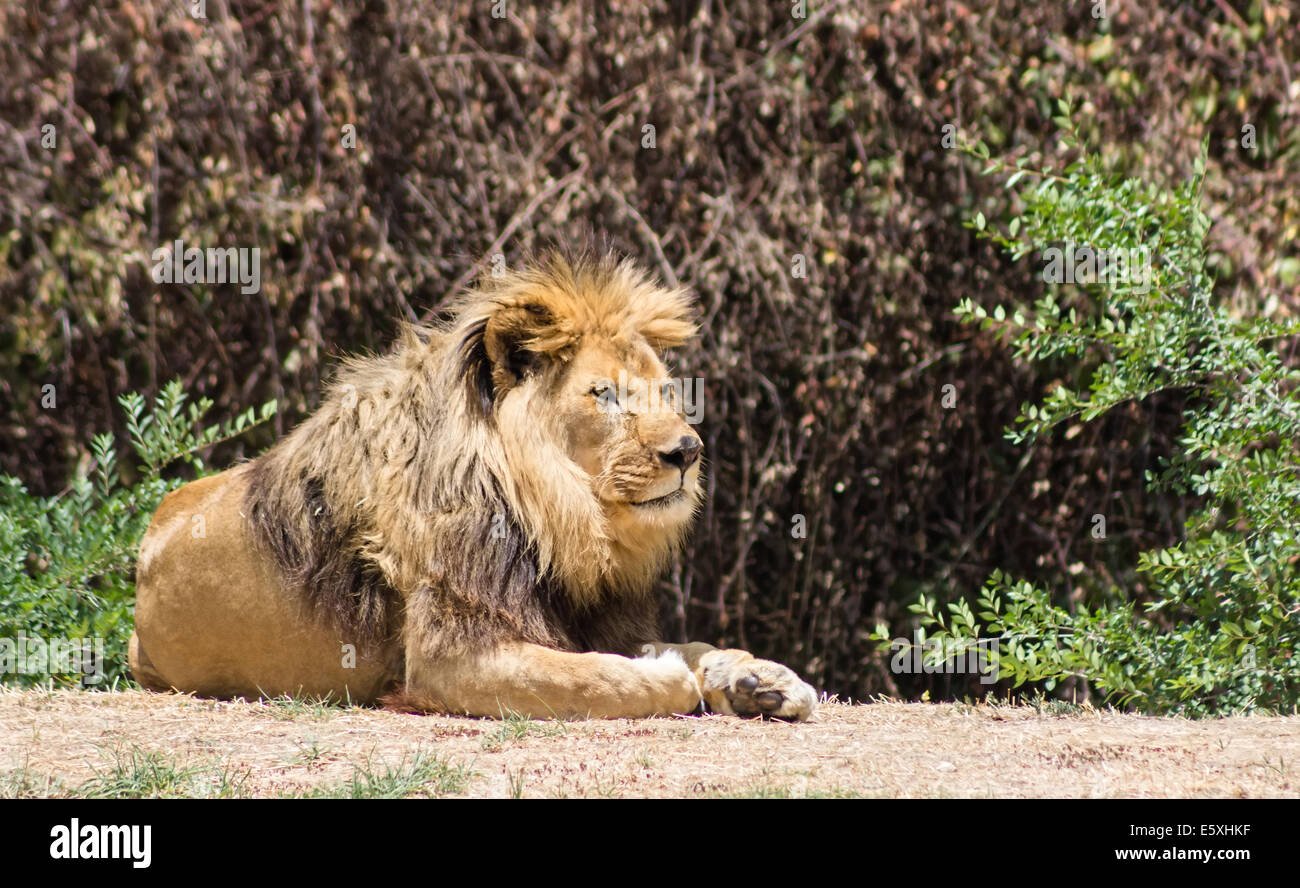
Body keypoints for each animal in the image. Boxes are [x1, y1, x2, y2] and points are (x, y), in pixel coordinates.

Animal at [129, 252, 817, 721]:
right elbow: (602, 677)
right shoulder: (452, 658)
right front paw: (674, 675)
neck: (561, 516)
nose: (688, 451)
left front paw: (763, 680)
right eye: (605, 395)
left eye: (667, 391)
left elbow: (691, 643)